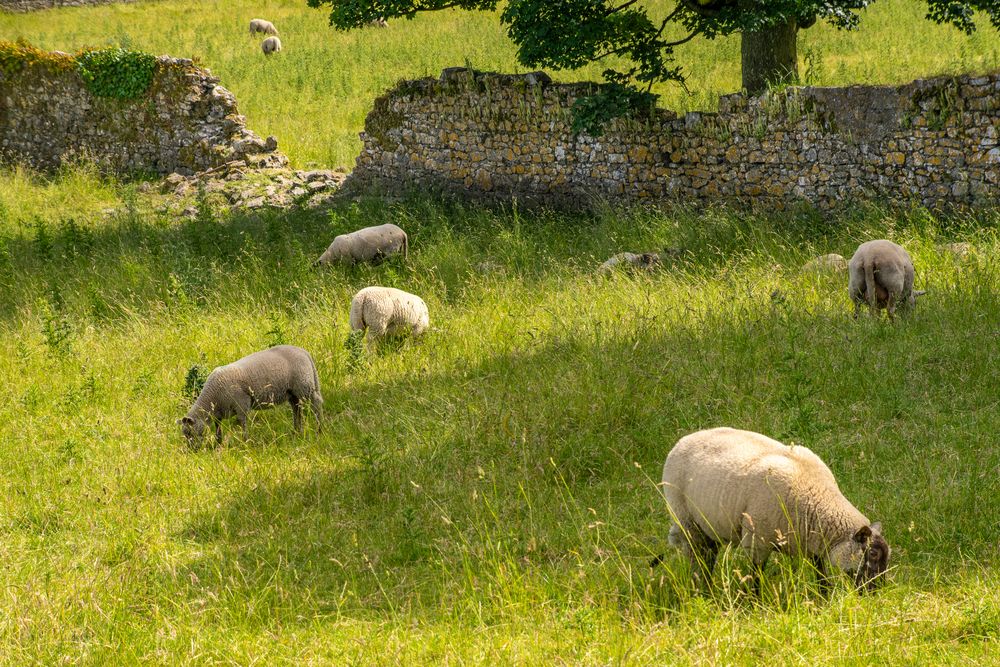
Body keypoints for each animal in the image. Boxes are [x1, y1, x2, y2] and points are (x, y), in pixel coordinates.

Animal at [178, 344, 322, 448]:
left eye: (189, 432)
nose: (192, 450)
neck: (212, 398)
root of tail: (304, 352)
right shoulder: (219, 413)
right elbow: (218, 427)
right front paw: (218, 443)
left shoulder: (241, 404)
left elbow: (243, 423)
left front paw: (245, 441)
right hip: (292, 392)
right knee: (297, 409)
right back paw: (297, 431)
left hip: (304, 384)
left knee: (316, 403)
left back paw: (319, 429)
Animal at [660, 428, 888, 596]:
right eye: (873, 554)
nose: (876, 592)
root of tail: (684, 440)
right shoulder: (757, 541)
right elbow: (756, 575)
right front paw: (755, 602)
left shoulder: (814, 542)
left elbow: (820, 572)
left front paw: (823, 597)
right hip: (687, 522)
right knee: (698, 559)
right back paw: (702, 590)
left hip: (707, 526)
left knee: (709, 554)